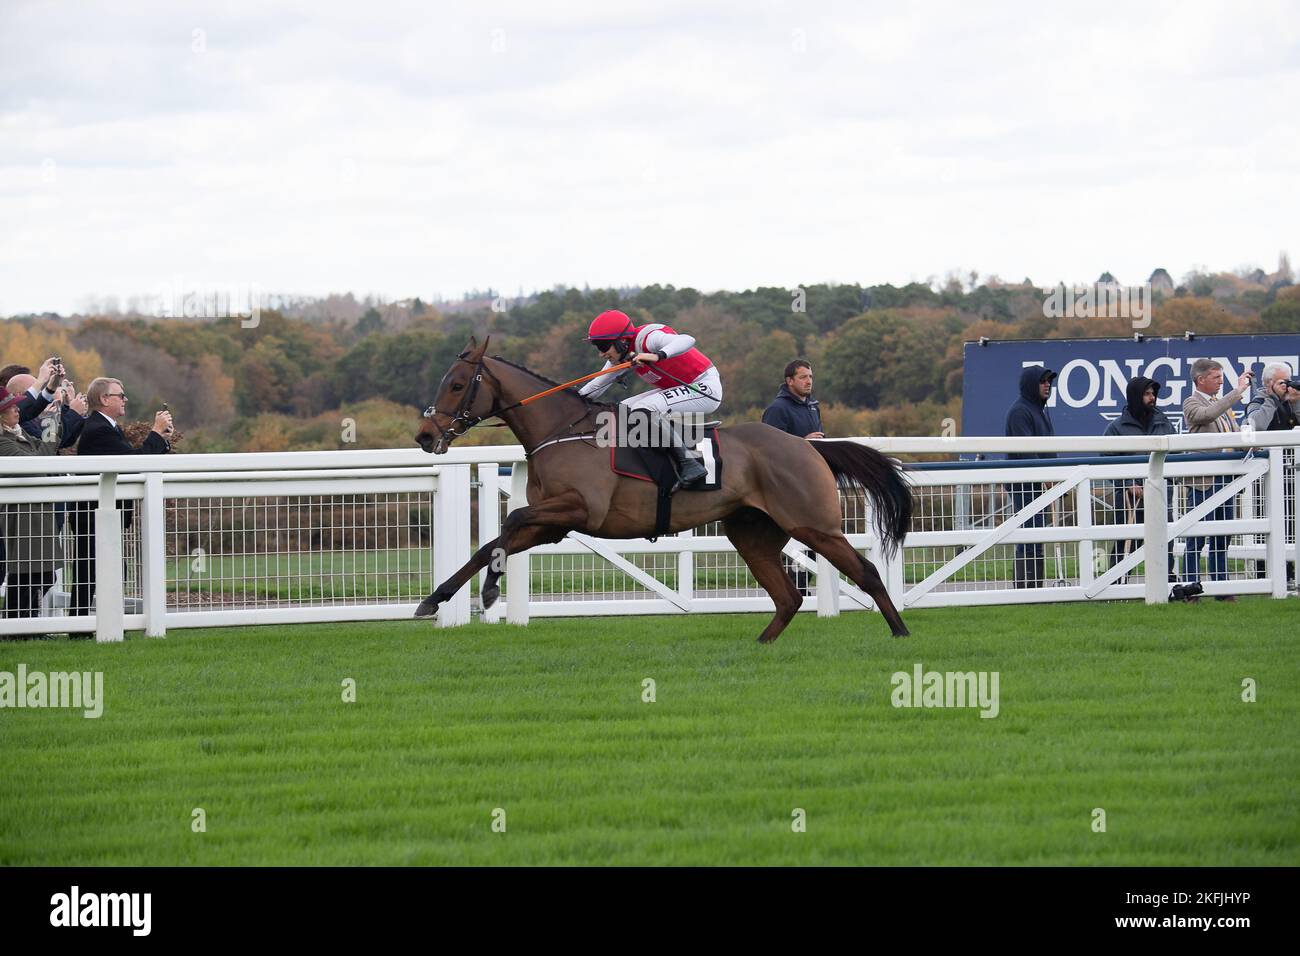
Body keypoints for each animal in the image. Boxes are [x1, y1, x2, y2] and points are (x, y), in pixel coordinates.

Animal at [416, 335, 915, 642]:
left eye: (456, 384)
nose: (424, 435)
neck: (564, 430)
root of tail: (807, 445)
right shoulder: (552, 524)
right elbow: (492, 544)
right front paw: (437, 599)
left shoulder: (579, 509)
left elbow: (513, 519)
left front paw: (487, 591)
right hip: (752, 533)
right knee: (789, 596)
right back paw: (760, 645)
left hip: (814, 524)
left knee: (866, 572)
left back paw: (900, 631)